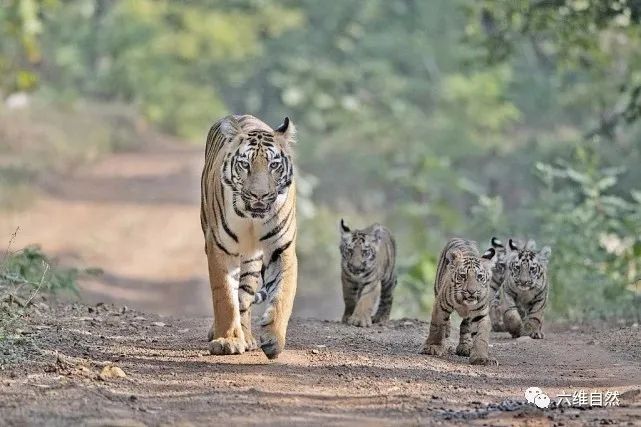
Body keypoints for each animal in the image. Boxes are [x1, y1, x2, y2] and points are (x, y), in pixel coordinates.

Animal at [199, 113, 296, 362]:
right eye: (245, 165)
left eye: (273, 165)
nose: (259, 195)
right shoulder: (219, 248)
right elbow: (224, 296)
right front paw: (227, 341)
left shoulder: (282, 249)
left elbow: (283, 294)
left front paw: (273, 339)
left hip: (252, 259)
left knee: (245, 297)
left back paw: (248, 337)